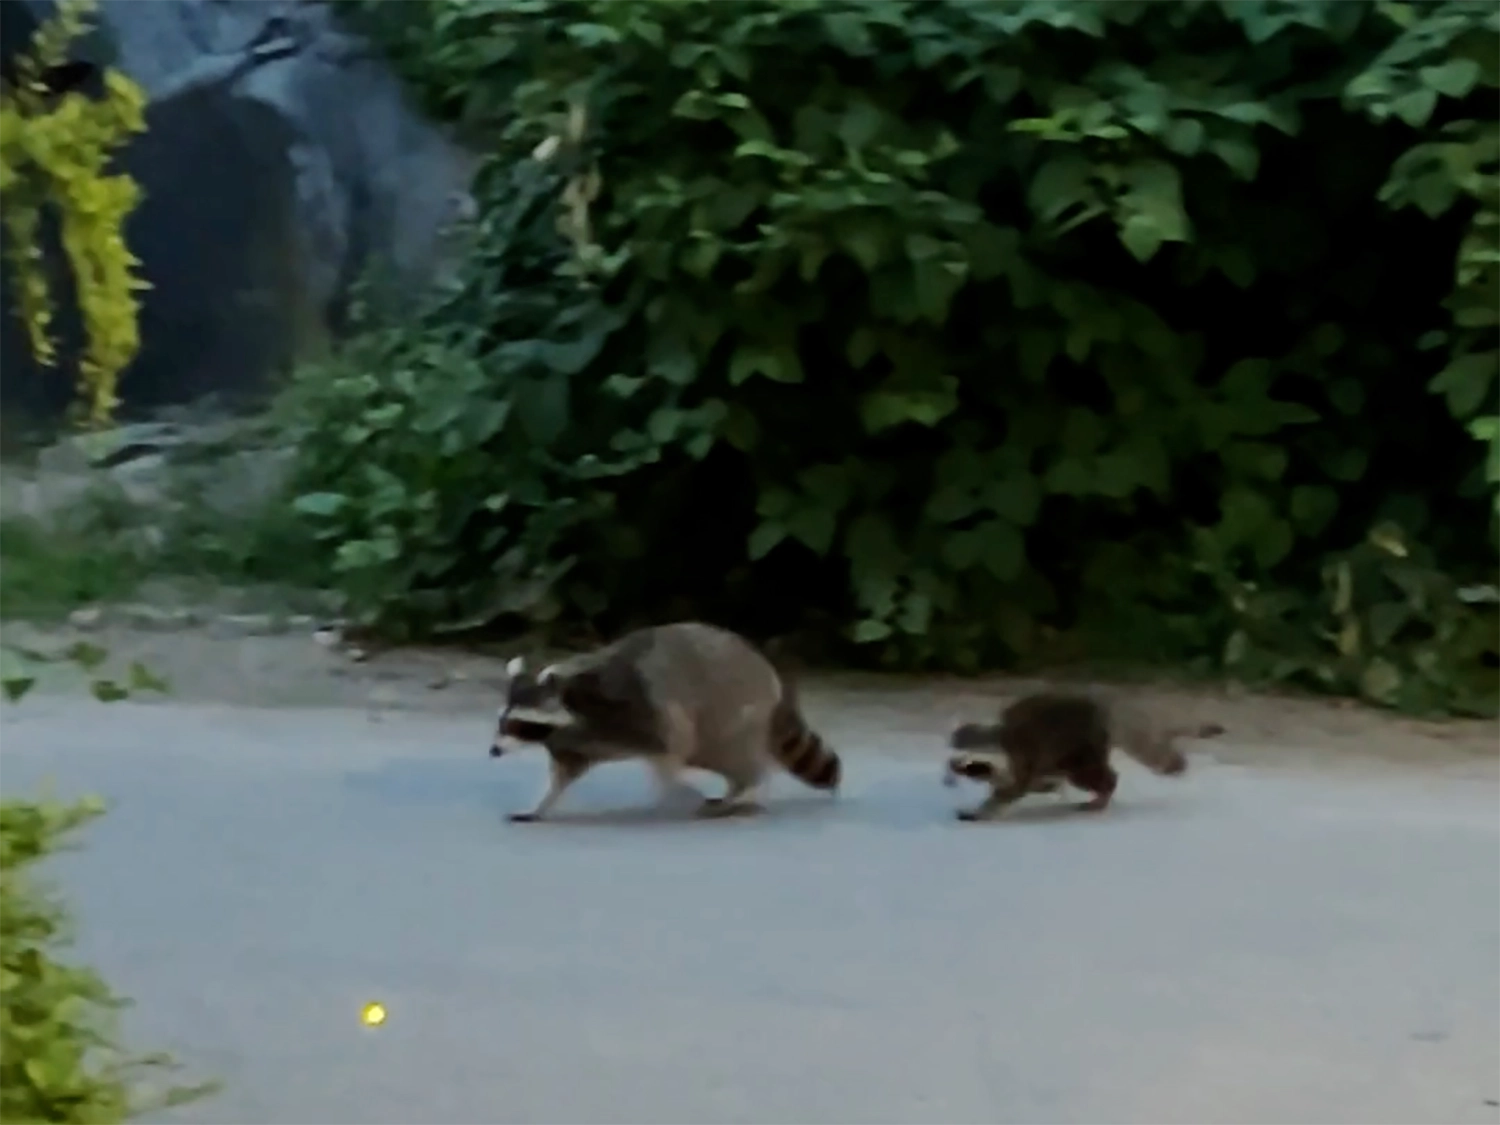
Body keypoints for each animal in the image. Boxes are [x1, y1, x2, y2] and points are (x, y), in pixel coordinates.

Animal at [490, 621, 842, 822]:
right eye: (501, 723)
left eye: (518, 725)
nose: (494, 751)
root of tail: (769, 672)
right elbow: (564, 772)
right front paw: (539, 804)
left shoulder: (629, 708)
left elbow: (660, 742)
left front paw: (675, 787)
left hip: (731, 706)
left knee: (720, 750)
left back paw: (747, 788)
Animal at [945, 690, 1223, 822]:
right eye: (949, 765)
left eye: (963, 765)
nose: (947, 781)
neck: (998, 737)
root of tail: (1106, 710)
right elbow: (1028, 782)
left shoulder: (1022, 755)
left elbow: (1011, 789)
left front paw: (983, 810)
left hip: (1082, 747)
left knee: (1091, 775)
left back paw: (1104, 791)